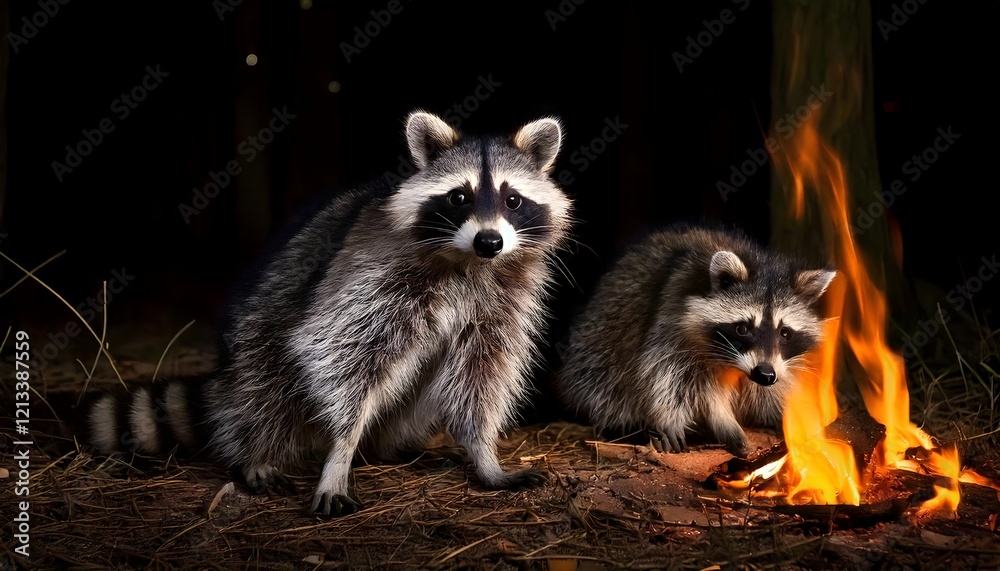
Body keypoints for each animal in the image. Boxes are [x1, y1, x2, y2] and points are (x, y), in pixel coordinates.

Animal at [85, 110, 573, 516]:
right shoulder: (372, 277)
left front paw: (483, 453)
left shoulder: (503, 299)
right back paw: (254, 453)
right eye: (459, 197)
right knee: (264, 384)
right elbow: (340, 354)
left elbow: (482, 375)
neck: (470, 262)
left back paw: (392, 447)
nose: (490, 241)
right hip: (256, 334)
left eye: (513, 200)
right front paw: (341, 451)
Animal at [555, 224, 835, 457]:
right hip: (597, 343)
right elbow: (673, 381)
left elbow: (776, 386)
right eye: (743, 328)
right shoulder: (670, 327)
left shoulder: (779, 363)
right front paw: (717, 419)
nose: (765, 374)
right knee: (603, 379)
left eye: (784, 333)